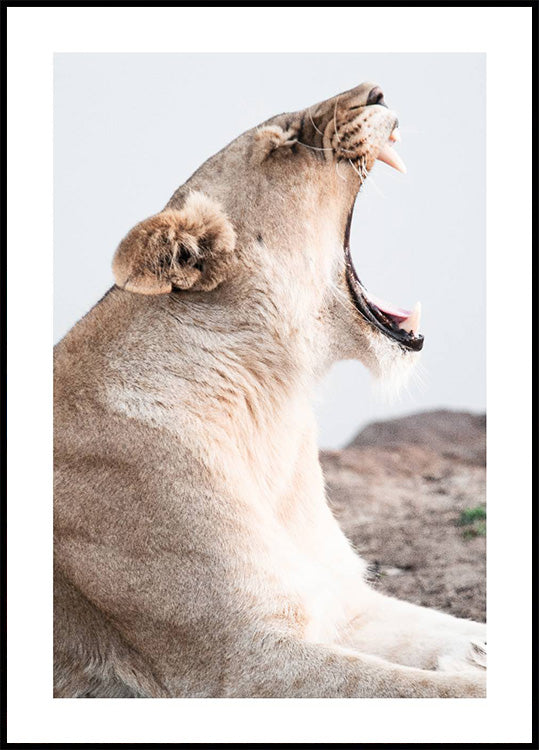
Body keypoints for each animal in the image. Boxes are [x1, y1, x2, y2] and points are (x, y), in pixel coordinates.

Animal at [54, 82, 486, 698]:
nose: (376, 91)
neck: (273, 401)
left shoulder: (344, 601)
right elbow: (432, 691)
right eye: (285, 143)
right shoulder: (243, 662)